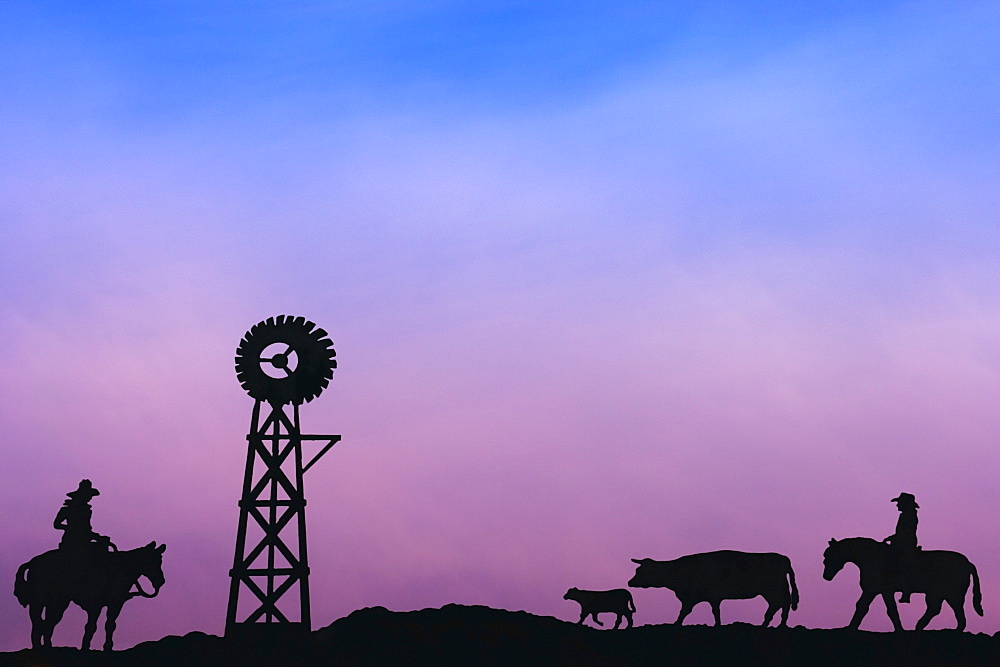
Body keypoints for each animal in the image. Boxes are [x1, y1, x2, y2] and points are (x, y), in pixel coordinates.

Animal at [14, 544, 166, 652]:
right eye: (154, 560)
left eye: (160, 560)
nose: (161, 581)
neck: (119, 568)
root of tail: (33, 562)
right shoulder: (98, 605)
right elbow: (92, 626)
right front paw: (86, 647)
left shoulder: (114, 604)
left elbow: (109, 625)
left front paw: (107, 647)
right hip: (40, 602)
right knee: (39, 621)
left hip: (57, 603)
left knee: (47, 622)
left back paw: (45, 645)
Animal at [824, 536, 980, 632]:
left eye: (830, 555)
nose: (826, 576)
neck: (872, 558)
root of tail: (968, 563)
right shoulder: (873, 590)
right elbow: (862, 606)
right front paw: (850, 627)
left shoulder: (882, 590)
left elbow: (890, 609)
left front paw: (899, 629)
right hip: (941, 594)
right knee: (940, 609)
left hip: (950, 594)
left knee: (948, 610)